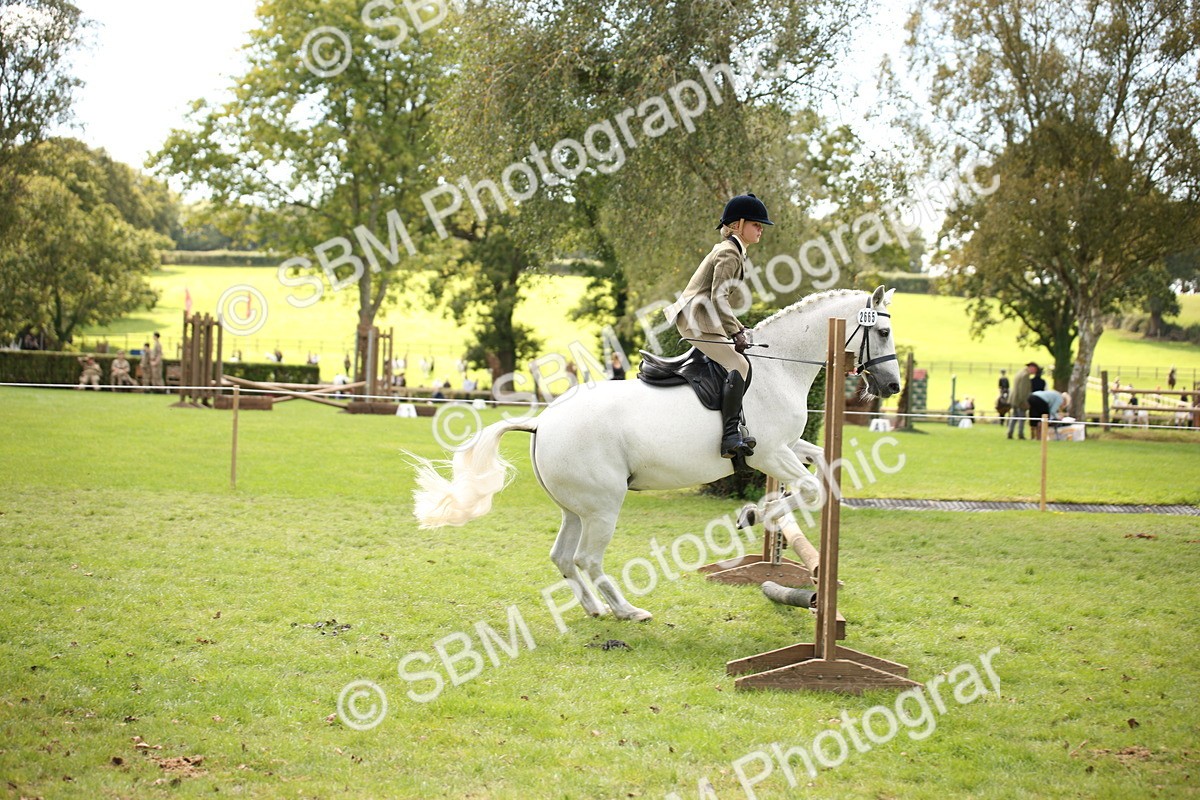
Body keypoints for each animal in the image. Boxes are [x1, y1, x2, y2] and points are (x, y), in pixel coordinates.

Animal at [412, 286, 901, 622]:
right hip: (604, 506)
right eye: (882, 331)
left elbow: (821, 462)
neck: (779, 371)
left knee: (563, 557)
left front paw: (766, 510)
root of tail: (543, 422)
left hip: (577, 509)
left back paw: (595, 609)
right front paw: (755, 514)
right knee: (587, 559)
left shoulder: (787, 446)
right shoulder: (767, 454)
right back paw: (628, 610)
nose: (892, 386)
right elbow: (807, 488)